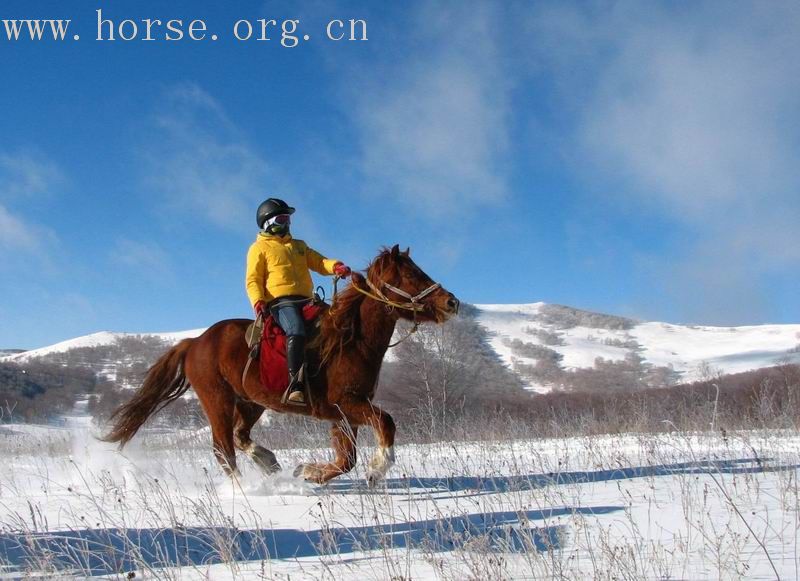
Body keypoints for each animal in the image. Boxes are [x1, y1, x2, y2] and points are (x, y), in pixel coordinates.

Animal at [103, 245, 460, 484]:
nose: (451, 302)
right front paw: (378, 467)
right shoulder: (346, 404)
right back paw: (247, 490)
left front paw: (308, 471)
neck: (350, 340)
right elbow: (385, 424)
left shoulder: (346, 413)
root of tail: (195, 342)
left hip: (251, 402)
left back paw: (268, 462)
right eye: (411, 274)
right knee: (223, 448)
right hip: (217, 399)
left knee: (240, 436)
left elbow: (346, 459)